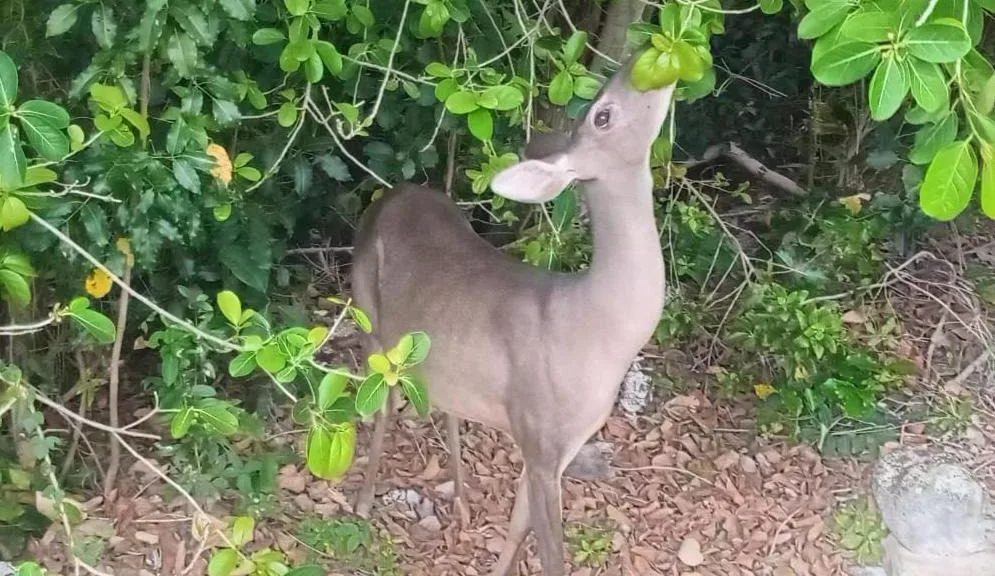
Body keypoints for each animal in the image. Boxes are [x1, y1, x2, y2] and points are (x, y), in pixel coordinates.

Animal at [349, 49, 675, 575]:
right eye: (602, 115)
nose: (647, 59)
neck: (596, 330)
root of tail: (393, 192)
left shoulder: (556, 444)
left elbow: (518, 528)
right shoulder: (539, 432)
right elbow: (549, 552)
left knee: (441, 399)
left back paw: (462, 501)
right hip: (368, 313)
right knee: (380, 398)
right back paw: (362, 501)